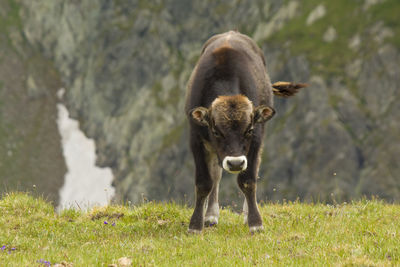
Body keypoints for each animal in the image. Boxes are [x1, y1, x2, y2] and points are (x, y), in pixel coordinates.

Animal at [184, 30, 306, 233]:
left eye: (248, 129)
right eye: (216, 131)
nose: (235, 163)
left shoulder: (256, 139)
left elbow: (248, 180)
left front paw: (255, 222)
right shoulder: (196, 139)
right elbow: (204, 182)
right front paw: (195, 225)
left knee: (253, 170)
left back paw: (246, 213)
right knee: (216, 174)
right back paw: (211, 215)